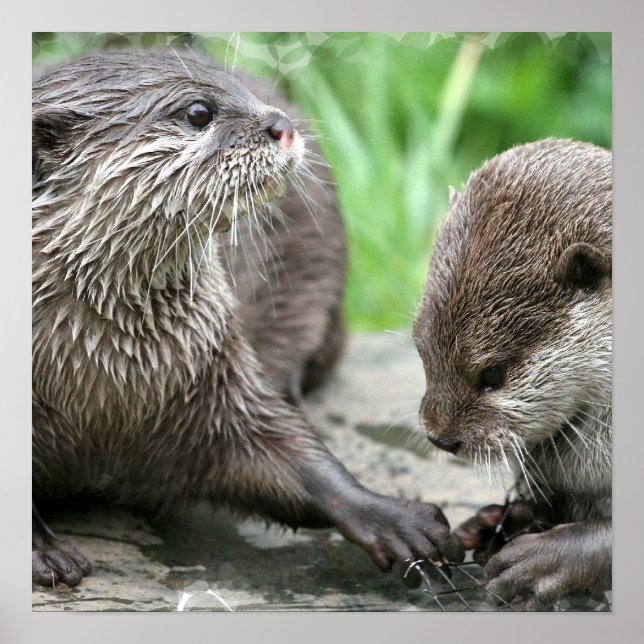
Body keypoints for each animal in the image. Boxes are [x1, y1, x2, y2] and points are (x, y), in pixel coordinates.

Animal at [32, 50, 462, 588]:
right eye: (198, 112)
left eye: (238, 89)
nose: (283, 126)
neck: (104, 375)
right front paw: (42, 552)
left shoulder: (211, 374)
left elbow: (287, 456)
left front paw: (391, 516)